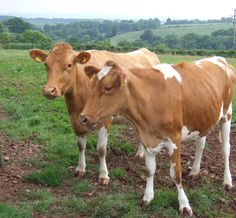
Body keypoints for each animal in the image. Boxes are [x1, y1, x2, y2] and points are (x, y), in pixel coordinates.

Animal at [28, 43, 159, 186]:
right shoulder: (75, 119)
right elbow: (81, 146)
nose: (49, 90)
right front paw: (80, 168)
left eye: (69, 65)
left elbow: (101, 150)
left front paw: (103, 175)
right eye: (46, 64)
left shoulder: (105, 121)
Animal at [79, 55, 236, 215]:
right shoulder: (146, 138)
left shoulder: (174, 139)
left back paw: (227, 182)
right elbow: (150, 170)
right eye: (91, 86)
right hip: (203, 117)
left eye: (108, 87)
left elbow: (176, 174)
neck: (150, 98)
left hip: (227, 115)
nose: (83, 118)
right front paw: (147, 197)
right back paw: (194, 171)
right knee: (200, 144)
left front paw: (184, 204)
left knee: (225, 149)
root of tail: (220, 59)